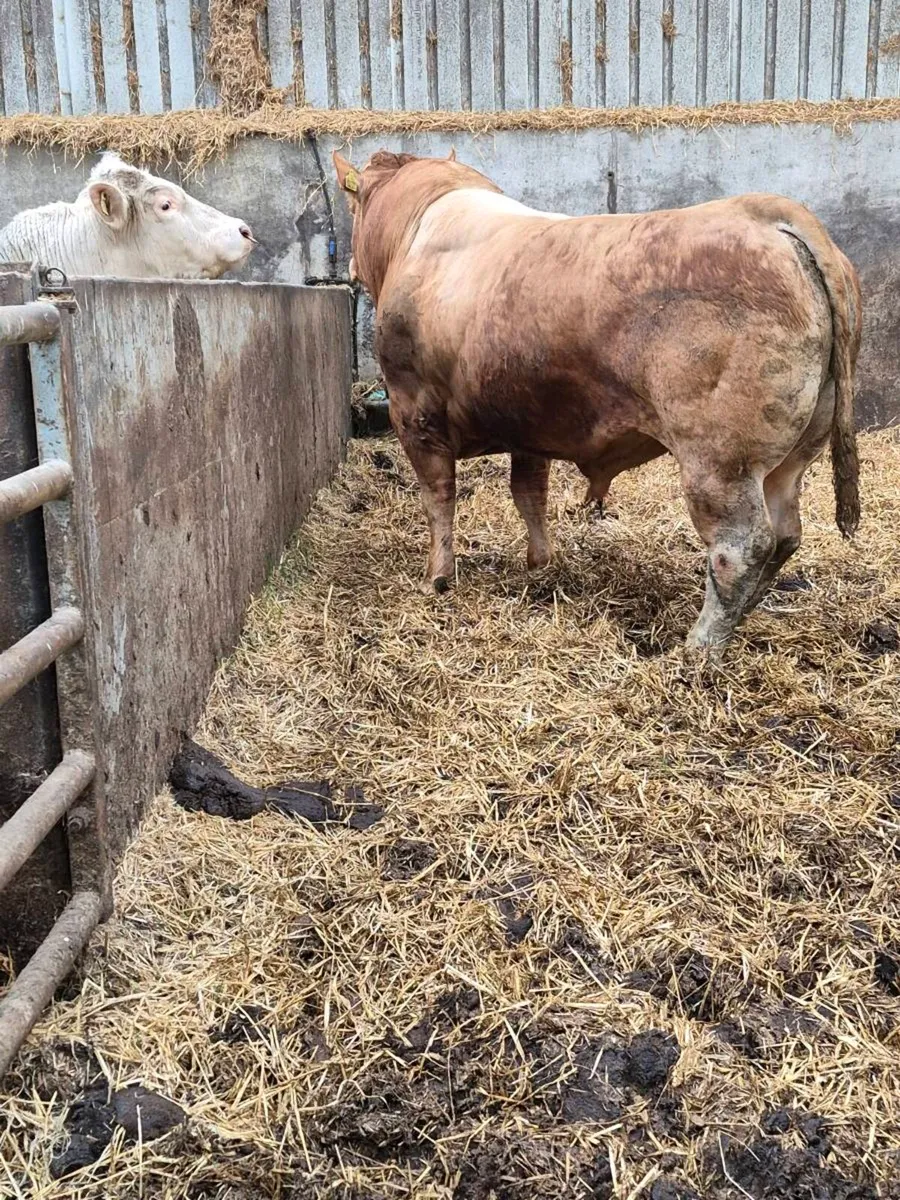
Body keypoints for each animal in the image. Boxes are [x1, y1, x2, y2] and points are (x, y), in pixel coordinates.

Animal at [333, 149, 861, 657]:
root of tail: (766, 215)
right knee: (786, 534)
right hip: (794, 453)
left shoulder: (414, 412)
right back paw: (743, 615)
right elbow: (529, 493)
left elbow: (438, 497)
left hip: (721, 460)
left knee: (741, 547)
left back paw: (698, 649)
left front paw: (437, 577)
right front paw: (539, 565)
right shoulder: (529, 420)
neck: (419, 225)